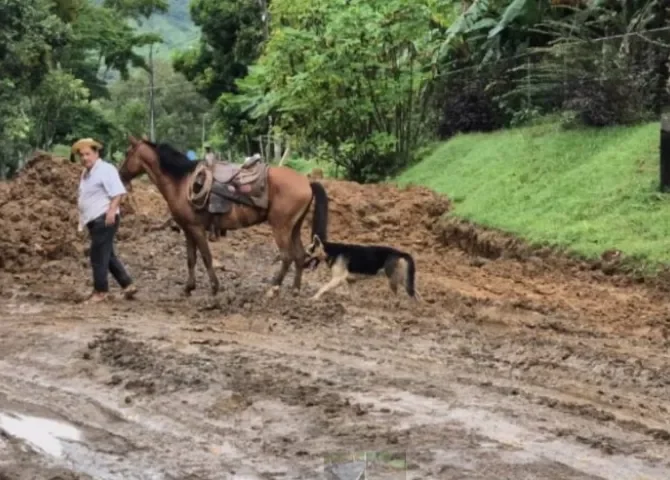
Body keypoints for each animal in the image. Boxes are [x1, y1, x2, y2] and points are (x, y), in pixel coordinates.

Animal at [121, 135, 334, 296]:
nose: (121, 174)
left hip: (281, 227)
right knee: (299, 255)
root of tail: (307, 182)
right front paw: (188, 287)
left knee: (287, 256)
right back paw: (295, 289)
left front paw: (215, 287)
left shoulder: (197, 229)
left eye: (127, 153)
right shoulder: (188, 229)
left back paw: (273, 289)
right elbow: (191, 259)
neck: (181, 183)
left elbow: (206, 257)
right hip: (294, 227)